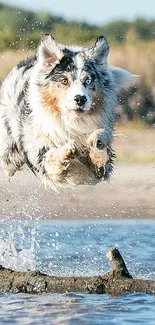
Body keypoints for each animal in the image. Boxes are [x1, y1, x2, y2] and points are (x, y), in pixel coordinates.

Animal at [0, 34, 133, 189]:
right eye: (64, 80)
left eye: (88, 80)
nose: (80, 99)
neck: (72, 121)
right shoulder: (39, 155)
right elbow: (51, 156)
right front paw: (66, 151)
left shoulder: (100, 170)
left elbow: (100, 139)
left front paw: (97, 142)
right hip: (10, 152)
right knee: (9, 165)